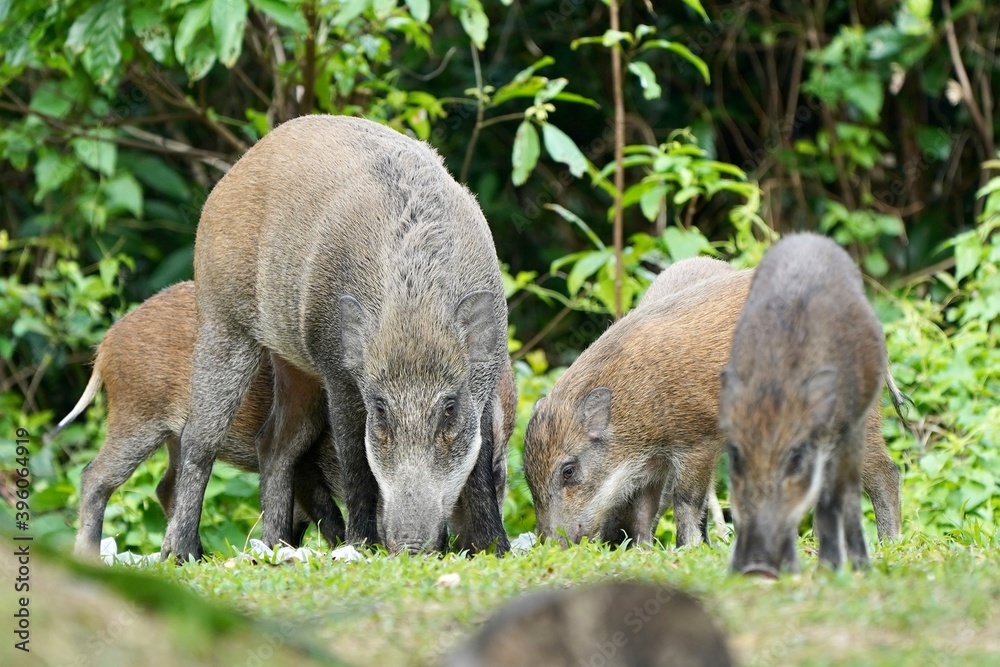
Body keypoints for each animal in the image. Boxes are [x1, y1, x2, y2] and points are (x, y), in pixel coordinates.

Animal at [56, 282, 345, 557]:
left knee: (164, 487)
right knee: (94, 476)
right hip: (137, 418)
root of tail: (104, 345)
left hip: (171, 436)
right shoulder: (306, 466)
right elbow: (325, 512)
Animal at [161, 115, 510, 559]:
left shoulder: (484, 382)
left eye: (449, 408)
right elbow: (356, 460)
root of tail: (233, 174)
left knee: (274, 443)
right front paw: (361, 545)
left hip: (294, 364)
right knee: (199, 439)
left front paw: (497, 549)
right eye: (380, 409)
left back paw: (275, 547)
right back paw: (186, 553)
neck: (415, 308)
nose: (409, 546)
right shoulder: (339, 373)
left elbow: (480, 467)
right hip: (224, 321)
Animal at [524, 256, 901, 549]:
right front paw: (645, 552)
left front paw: (687, 549)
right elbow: (644, 509)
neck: (635, 401)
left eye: (568, 471)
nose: (550, 545)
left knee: (884, 473)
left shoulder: (697, 441)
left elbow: (686, 501)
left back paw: (890, 543)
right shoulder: (649, 464)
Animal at [719, 233, 887, 576]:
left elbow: (833, 500)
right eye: (735, 456)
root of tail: (808, 237)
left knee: (848, 493)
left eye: (796, 458)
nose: (756, 568)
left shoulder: (843, 431)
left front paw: (834, 568)